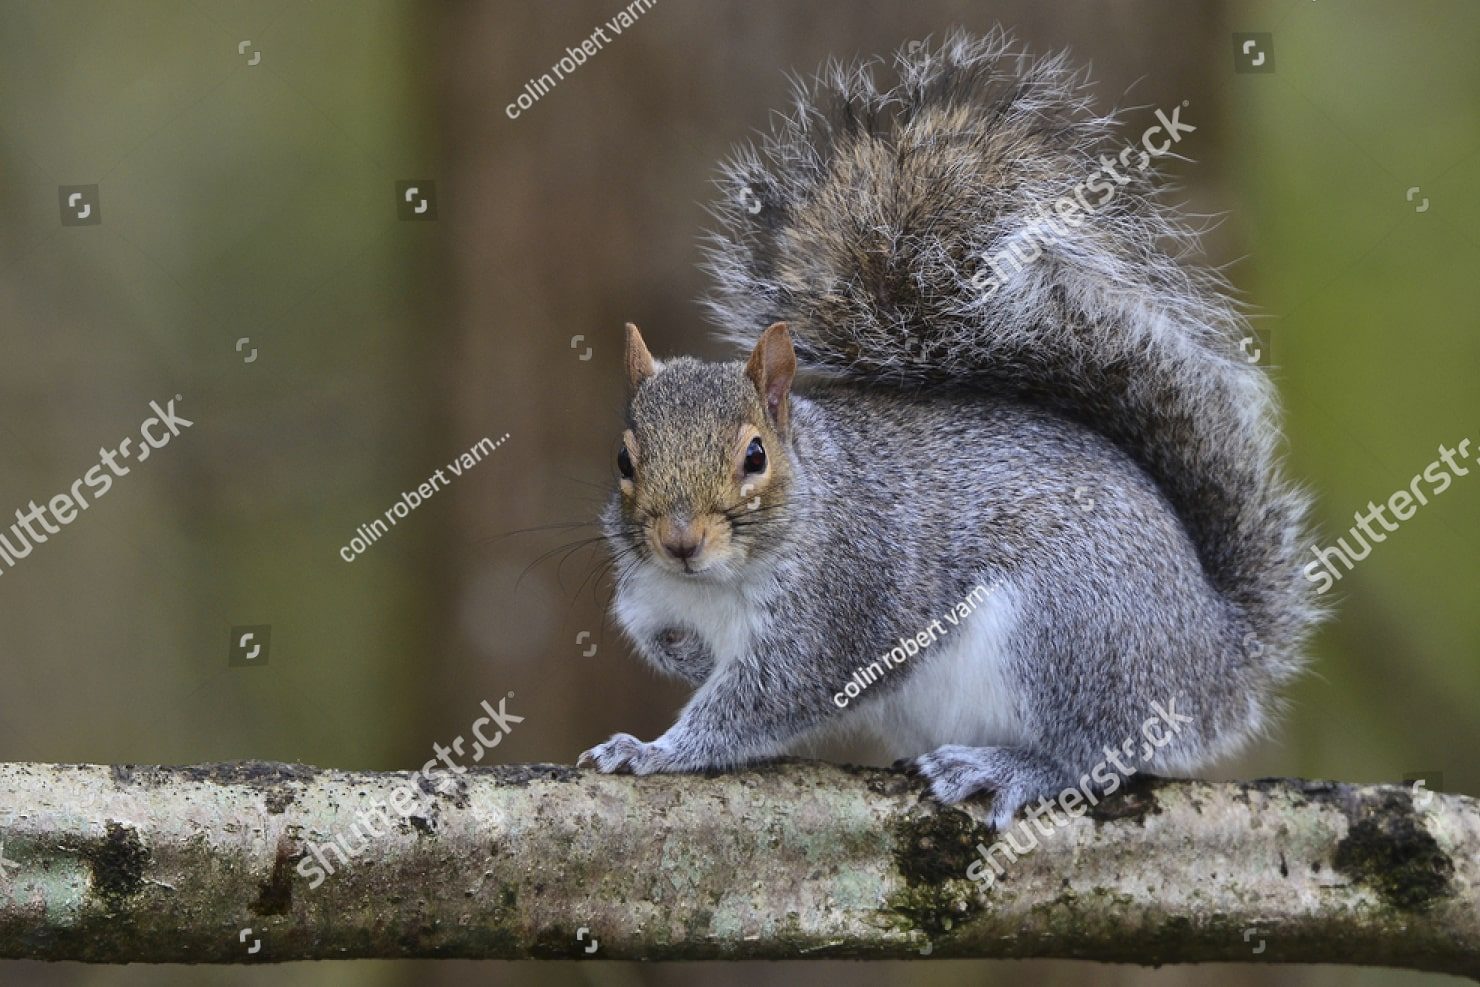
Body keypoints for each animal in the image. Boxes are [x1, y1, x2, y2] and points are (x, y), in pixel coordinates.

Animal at [577, 31, 1322, 831]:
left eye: (754, 455)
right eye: (623, 459)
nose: (680, 541)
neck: (713, 584)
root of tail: (1215, 662)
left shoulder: (837, 613)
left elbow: (763, 701)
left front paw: (655, 750)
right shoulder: (647, 592)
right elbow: (656, 637)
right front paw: (681, 658)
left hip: (1067, 633)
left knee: (1095, 752)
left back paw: (1012, 768)